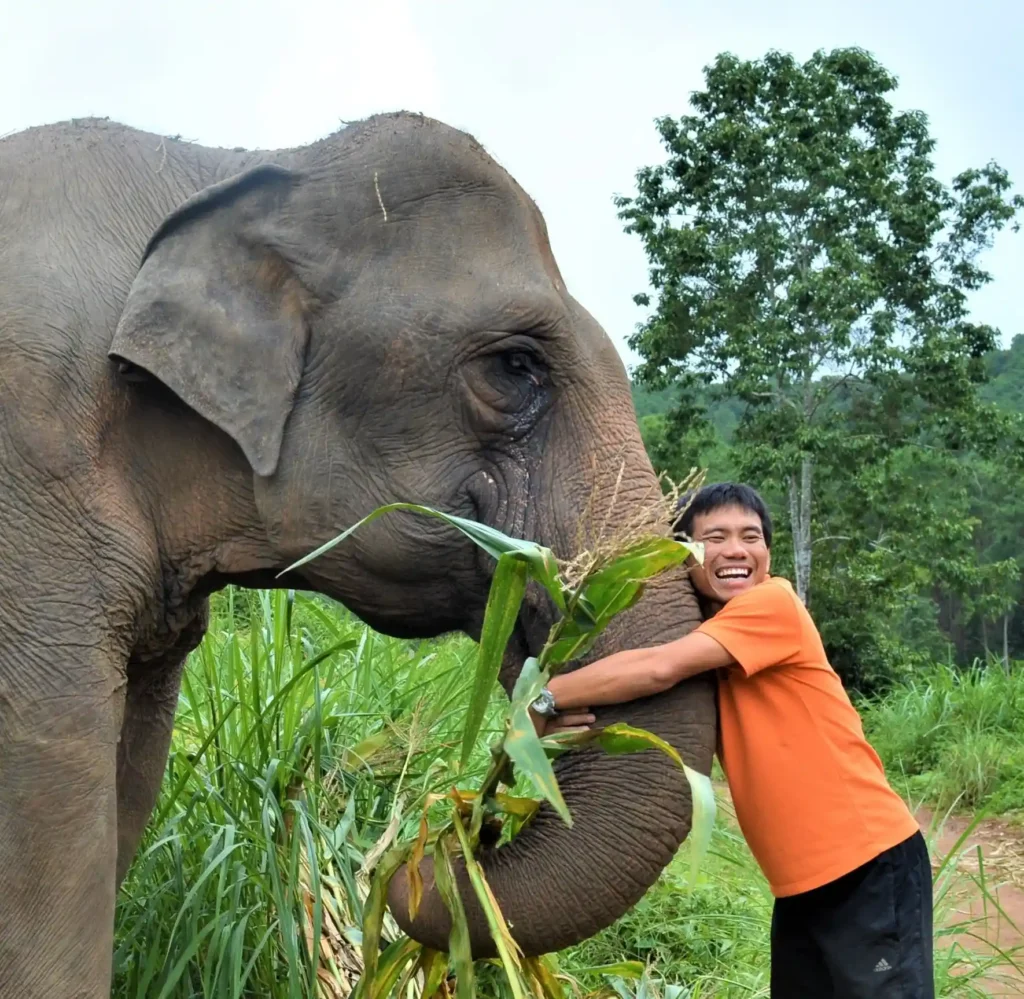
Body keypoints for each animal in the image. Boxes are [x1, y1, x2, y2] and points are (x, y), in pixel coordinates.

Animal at [0, 112, 716, 998]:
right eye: (515, 365)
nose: (429, 845)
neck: (228, 167)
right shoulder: (30, 482)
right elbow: (51, 811)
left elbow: (127, 788)